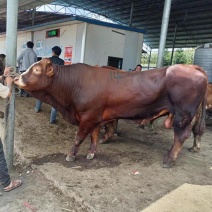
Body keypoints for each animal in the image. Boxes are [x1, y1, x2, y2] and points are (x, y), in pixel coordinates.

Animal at [13, 58, 207, 168]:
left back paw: (169, 160)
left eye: (37, 69)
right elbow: (94, 135)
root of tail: (191, 67)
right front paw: (91, 153)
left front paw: (71, 155)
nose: (15, 77)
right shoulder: (95, 117)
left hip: (182, 116)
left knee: (181, 136)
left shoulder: (87, 117)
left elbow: (79, 137)